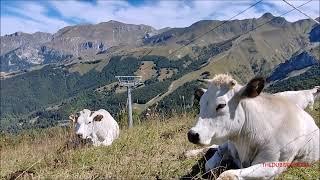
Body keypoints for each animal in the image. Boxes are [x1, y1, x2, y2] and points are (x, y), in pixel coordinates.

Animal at [186, 74, 318, 179]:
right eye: (201, 103)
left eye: (221, 105)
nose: (192, 134)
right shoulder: (229, 145)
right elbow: (209, 165)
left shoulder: (272, 165)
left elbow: (227, 174)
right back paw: (190, 152)